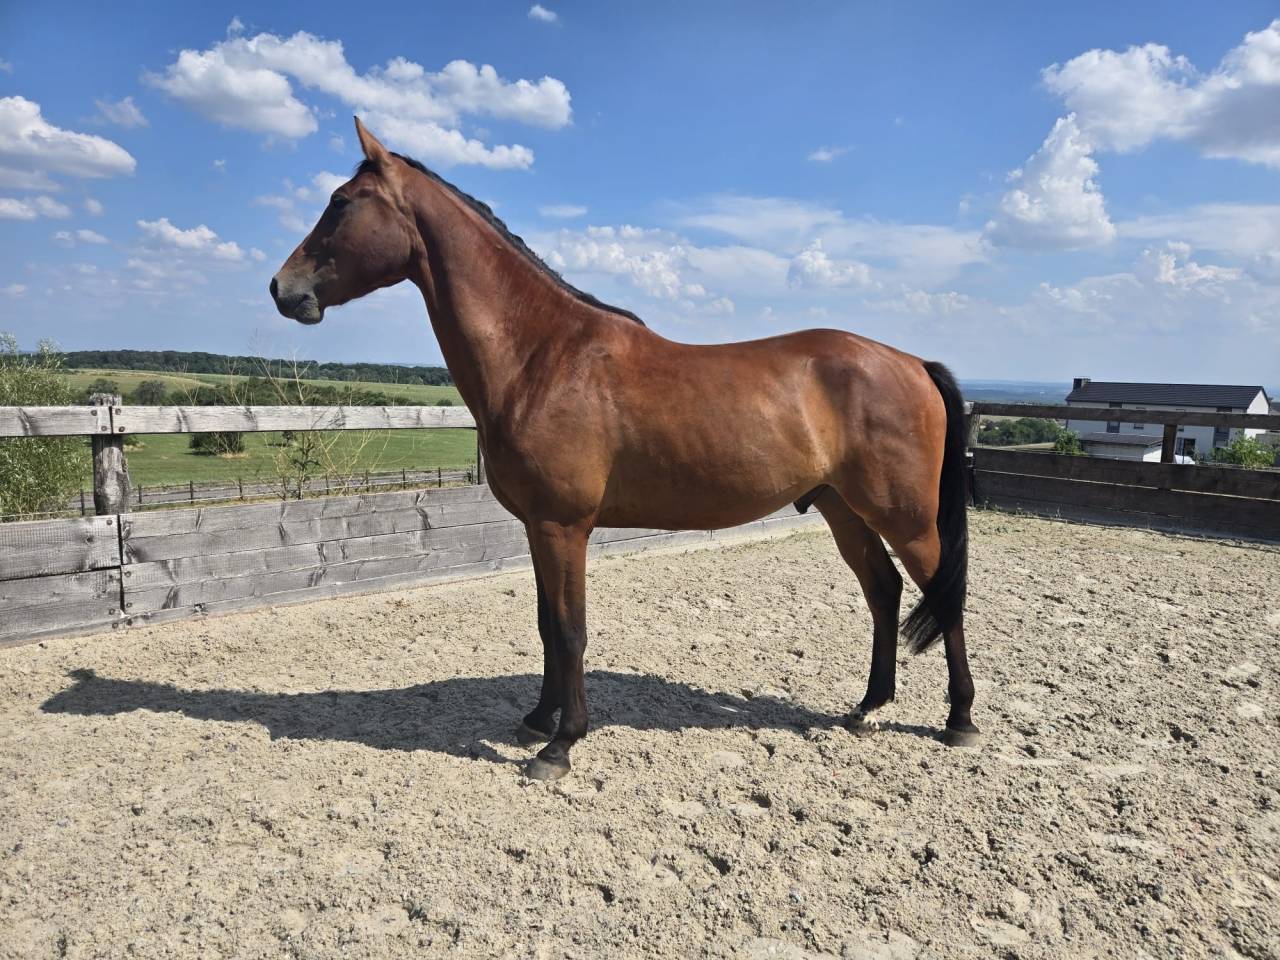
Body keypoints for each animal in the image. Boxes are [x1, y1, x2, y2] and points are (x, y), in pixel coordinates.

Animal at [271, 117, 978, 780]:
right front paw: (537, 719)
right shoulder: (538, 527)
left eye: (341, 202)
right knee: (884, 590)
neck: (542, 355)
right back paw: (868, 706)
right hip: (842, 509)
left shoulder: (565, 527)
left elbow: (571, 629)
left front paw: (561, 744)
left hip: (905, 518)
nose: (283, 289)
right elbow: (546, 625)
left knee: (945, 596)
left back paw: (960, 721)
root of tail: (912, 363)